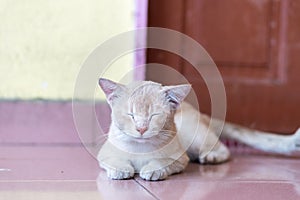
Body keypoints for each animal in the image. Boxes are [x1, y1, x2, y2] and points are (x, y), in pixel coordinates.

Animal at [96, 77, 300, 180]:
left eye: (154, 115)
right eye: (130, 114)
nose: (141, 129)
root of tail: (200, 114)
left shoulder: (179, 158)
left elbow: (163, 162)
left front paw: (152, 170)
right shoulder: (104, 154)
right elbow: (114, 161)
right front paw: (122, 170)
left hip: (195, 140)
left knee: (223, 149)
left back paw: (210, 157)